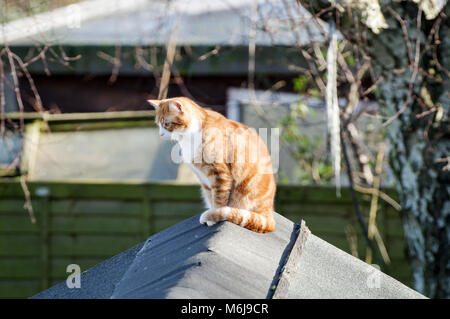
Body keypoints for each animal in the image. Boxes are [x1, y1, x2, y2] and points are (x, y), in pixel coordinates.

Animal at [149, 96, 276, 234]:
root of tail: (269, 210)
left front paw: (214, 215)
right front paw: (212, 211)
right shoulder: (204, 180)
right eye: (158, 124)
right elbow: (211, 197)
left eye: (166, 124)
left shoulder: (220, 174)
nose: (161, 134)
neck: (191, 136)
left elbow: (219, 199)